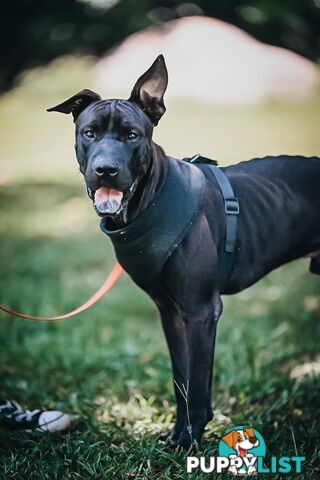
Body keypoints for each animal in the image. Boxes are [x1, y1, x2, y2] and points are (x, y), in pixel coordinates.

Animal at [48, 56, 320, 450]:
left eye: (132, 135)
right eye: (90, 133)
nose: (105, 170)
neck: (148, 201)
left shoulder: (201, 311)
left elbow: (198, 383)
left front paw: (189, 439)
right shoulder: (172, 313)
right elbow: (183, 382)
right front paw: (177, 435)